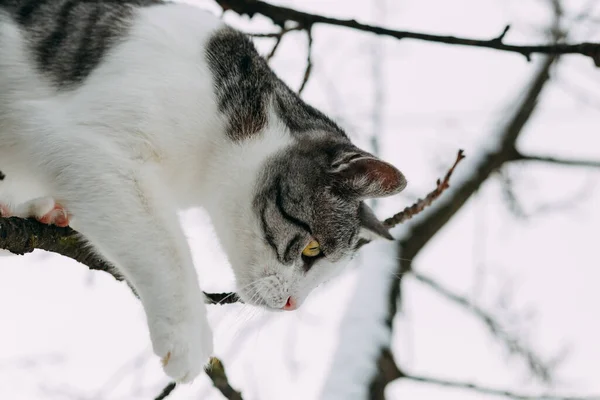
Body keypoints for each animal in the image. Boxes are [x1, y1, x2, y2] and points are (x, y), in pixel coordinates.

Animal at [0, 0, 408, 382]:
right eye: (312, 249)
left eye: (329, 276)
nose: (294, 304)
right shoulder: (90, 144)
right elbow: (165, 245)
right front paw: (187, 334)